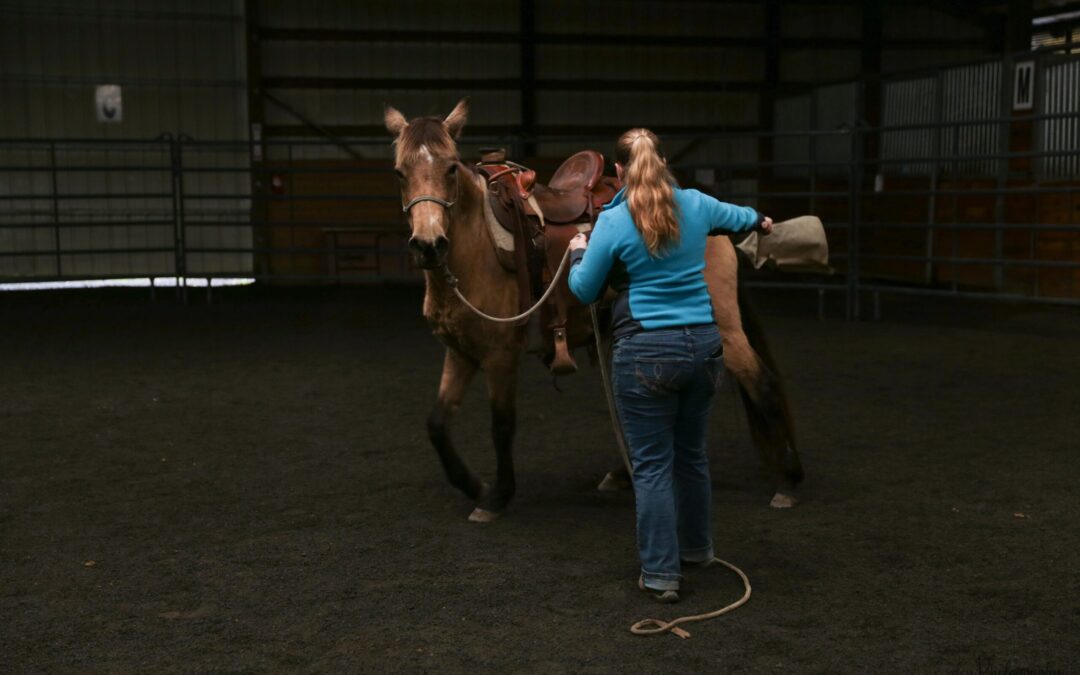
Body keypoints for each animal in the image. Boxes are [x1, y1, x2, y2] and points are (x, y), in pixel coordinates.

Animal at [385, 99, 803, 522]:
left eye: (451, 168)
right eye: (400, 172)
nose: (429, 244)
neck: (479, 247)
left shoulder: (501, 355)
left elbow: (502, 425)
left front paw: (497, 496)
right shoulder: (461, 352)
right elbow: (437, 424)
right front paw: (474, 486)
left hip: (724, 327)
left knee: (763, 384)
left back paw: (788, 480)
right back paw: (623, 474)